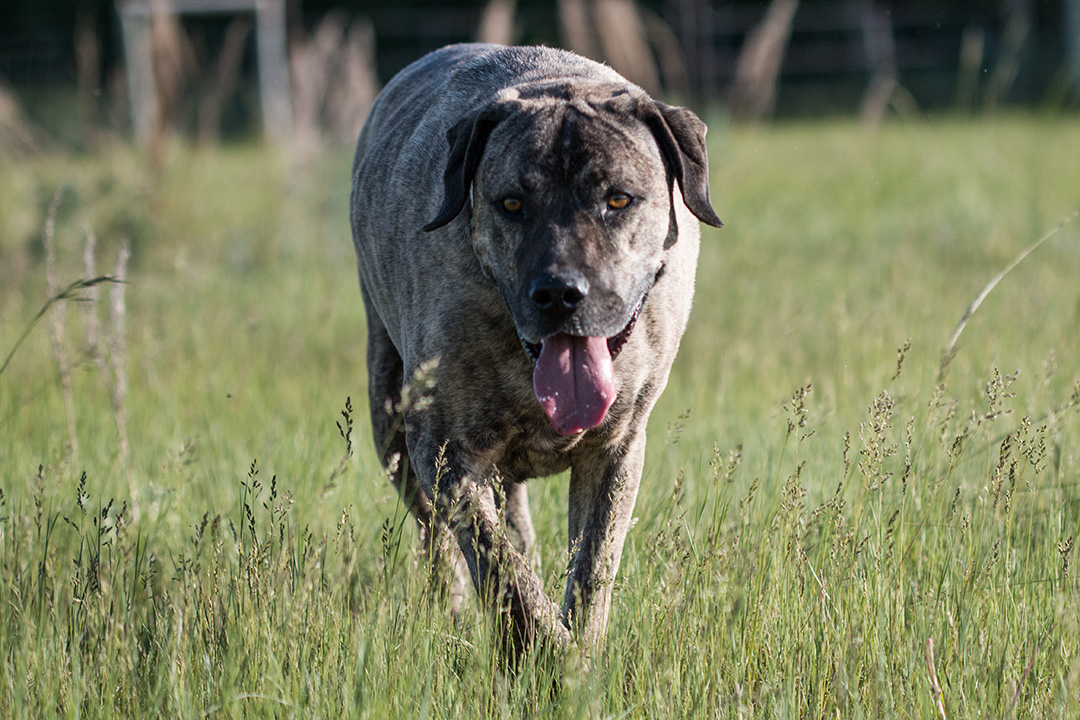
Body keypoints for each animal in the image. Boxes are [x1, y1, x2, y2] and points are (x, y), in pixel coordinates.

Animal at [352, 43, 725, 651]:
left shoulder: (617, 448)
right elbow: (503, 570)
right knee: (439, 540)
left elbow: (592, 568)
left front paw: (581, 651)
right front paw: (551, 652)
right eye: (511, 204)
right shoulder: (445, 450)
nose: (558, 291)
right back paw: (451, 613)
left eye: (618, 198)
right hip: (390, 418)